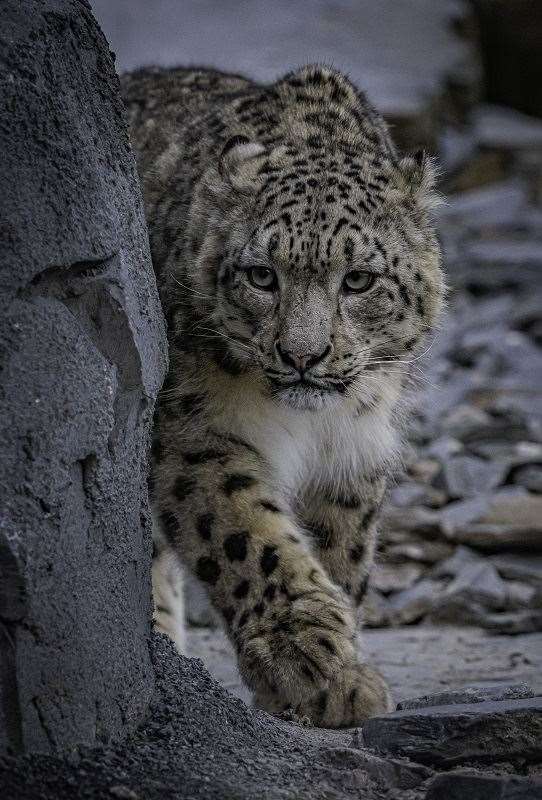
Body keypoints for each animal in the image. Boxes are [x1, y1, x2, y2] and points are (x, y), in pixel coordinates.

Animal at [121, 64, 444, 724]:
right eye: (261, 275)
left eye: (359, 279)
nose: (303, 356)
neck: (312, 426)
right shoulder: (194, 432)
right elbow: (244, 531)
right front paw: (302, 652)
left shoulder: (353, 448)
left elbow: (339, 549)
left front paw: (335, 681)